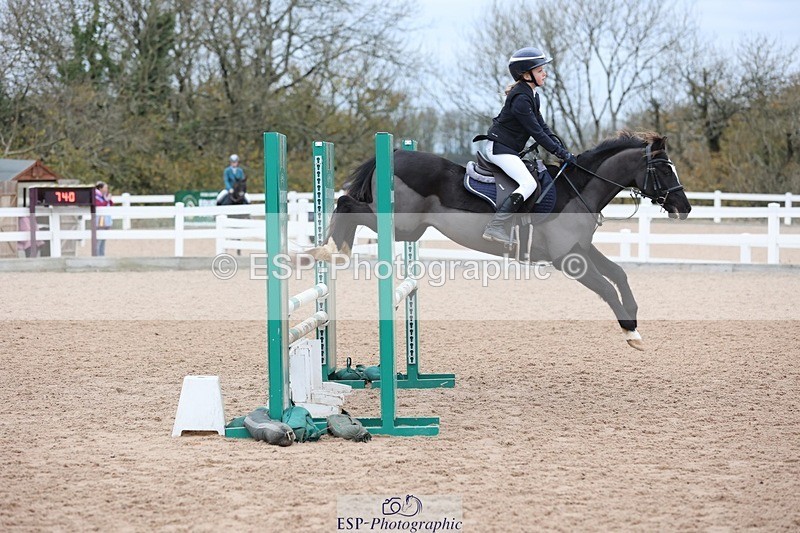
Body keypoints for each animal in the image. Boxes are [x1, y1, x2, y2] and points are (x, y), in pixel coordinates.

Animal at [310, 131, 692, 350]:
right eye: (664, 168)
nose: (684, 207)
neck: (577, 190)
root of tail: (395, 154)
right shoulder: (568, 260)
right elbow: (606, 288)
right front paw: (630, 332)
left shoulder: (580, 249)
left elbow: (619, 275)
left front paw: (634, 318)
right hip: (401, 226)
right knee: (345, 204)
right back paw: (329, 249)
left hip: (409, 231)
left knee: (347, 205)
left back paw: (329, 250)